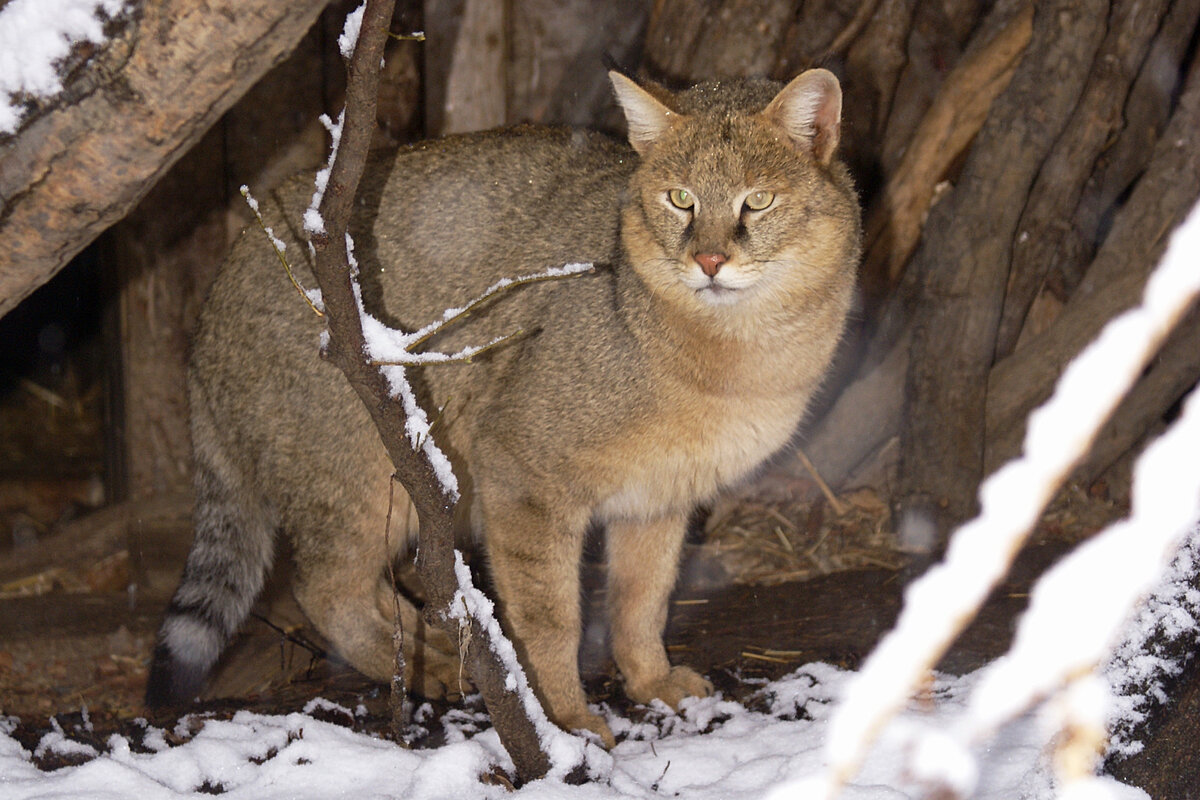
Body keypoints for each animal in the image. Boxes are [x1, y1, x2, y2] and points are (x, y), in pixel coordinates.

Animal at [147, 67, 864, 743]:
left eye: (759, 200)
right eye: (680, 198)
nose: (710, 260)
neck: (739, 364)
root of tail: (206, 316)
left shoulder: (660, 498)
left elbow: (643, 599)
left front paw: (649, 679)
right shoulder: (522, 475)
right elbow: (549, 619)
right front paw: (562, 720)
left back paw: (439, 644)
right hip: (360, 483)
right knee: (322, 590)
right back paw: (428, 661)